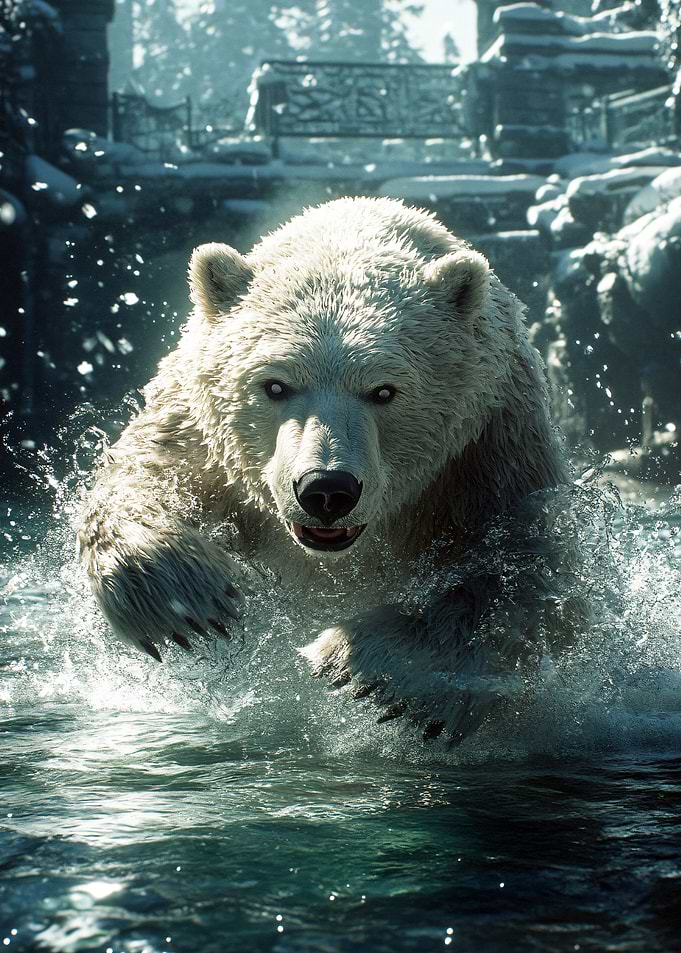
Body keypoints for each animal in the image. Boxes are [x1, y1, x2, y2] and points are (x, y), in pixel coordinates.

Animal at [78, 196, 580, 743]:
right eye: (275, 385)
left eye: (384, 390)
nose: (326, 490)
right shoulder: (202, 435)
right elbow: (143, 478)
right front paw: (186, 602)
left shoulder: (486, 449)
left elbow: (524, 574)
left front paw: (360, 666)